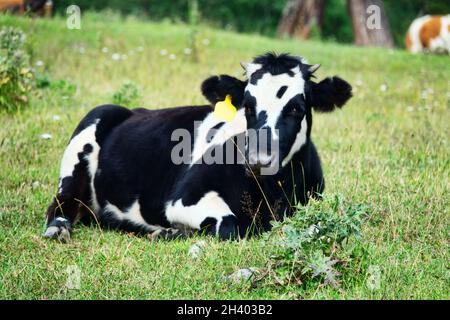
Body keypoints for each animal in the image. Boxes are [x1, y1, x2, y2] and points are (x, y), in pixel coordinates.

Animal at [43, 53, 352, 242]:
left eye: (296, 108)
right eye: (248, 106)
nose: (258, 159)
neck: (272, 193)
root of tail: (132, 110)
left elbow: (317, 227)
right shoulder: (184, 198)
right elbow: (229, 225)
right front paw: (168, 232)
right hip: (83, 143)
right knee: (62, 202)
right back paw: (58, 229)